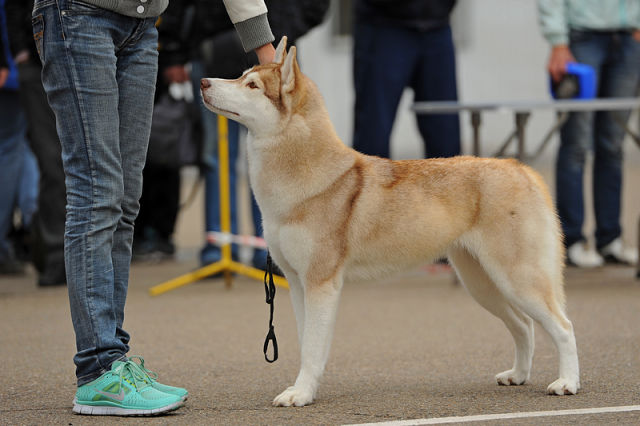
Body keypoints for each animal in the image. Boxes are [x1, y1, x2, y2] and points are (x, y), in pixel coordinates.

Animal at [200, 37, 580, 407]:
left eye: (251, 85)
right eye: (241, 75)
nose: (203, 82)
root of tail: (521, 168)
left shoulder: (322, 284)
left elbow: (311, 349)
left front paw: (301, 394)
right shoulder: (297, 283)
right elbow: (307, 344)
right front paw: (304, 390)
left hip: (518, 280)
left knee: (563, 326)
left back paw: (567, 383)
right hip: (483, 284)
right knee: (524, 326)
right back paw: (518, 375)